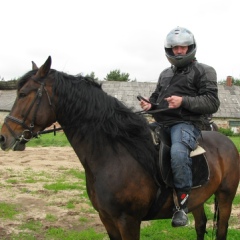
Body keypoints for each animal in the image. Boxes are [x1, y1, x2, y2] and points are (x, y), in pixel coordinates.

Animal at [0, 55, 239, 238]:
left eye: (23, 94)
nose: (3, 137)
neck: (114, 154)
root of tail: (226, 141)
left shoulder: (128, 221)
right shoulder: (107, 218)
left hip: (225, 197)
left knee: (221, 230)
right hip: (199, 199)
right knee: (200, 225)